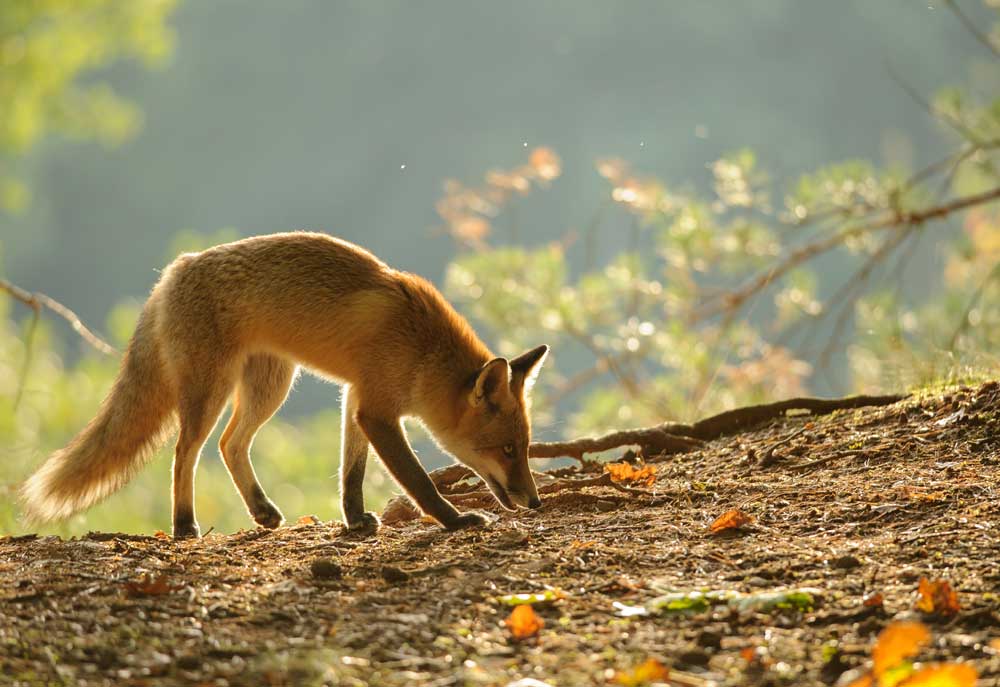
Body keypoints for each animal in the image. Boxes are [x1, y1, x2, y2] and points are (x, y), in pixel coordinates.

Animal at [19, 234, 548, 540]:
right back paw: (184, 525)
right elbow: (418, 481)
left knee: (230, 445)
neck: (422, 349)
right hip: (211, 390)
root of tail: (176, 268)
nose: (536, 501)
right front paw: (455, 520)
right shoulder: (377, 409)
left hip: (270, 386)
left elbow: (351, 473)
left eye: (524, 447)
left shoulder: (356, 398)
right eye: (506, 449)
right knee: (185, 453)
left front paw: (355, 521)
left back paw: (261, 511)